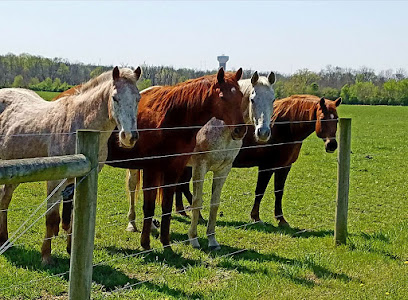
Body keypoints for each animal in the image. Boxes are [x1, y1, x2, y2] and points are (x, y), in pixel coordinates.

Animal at [126, 71, 276, 251]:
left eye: (273, 99)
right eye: (253, 99)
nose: (263, 132)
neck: (221, 127)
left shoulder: (223, 169)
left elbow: (214, 203)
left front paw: (212, 239)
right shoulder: (200, 166)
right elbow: (197, 201)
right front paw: (194, 238)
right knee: (132, 186)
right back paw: (132, 223)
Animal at [173, 95, 342, 227]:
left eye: (337, 120)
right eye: (322, 119)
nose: (332, 145)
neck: (284, 127)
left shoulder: (284, 167)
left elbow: (279, 192)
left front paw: (281, 219)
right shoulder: (266, 167)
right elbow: (260, 191)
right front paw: (255, 217)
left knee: (180, 185)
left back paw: (183, 211)